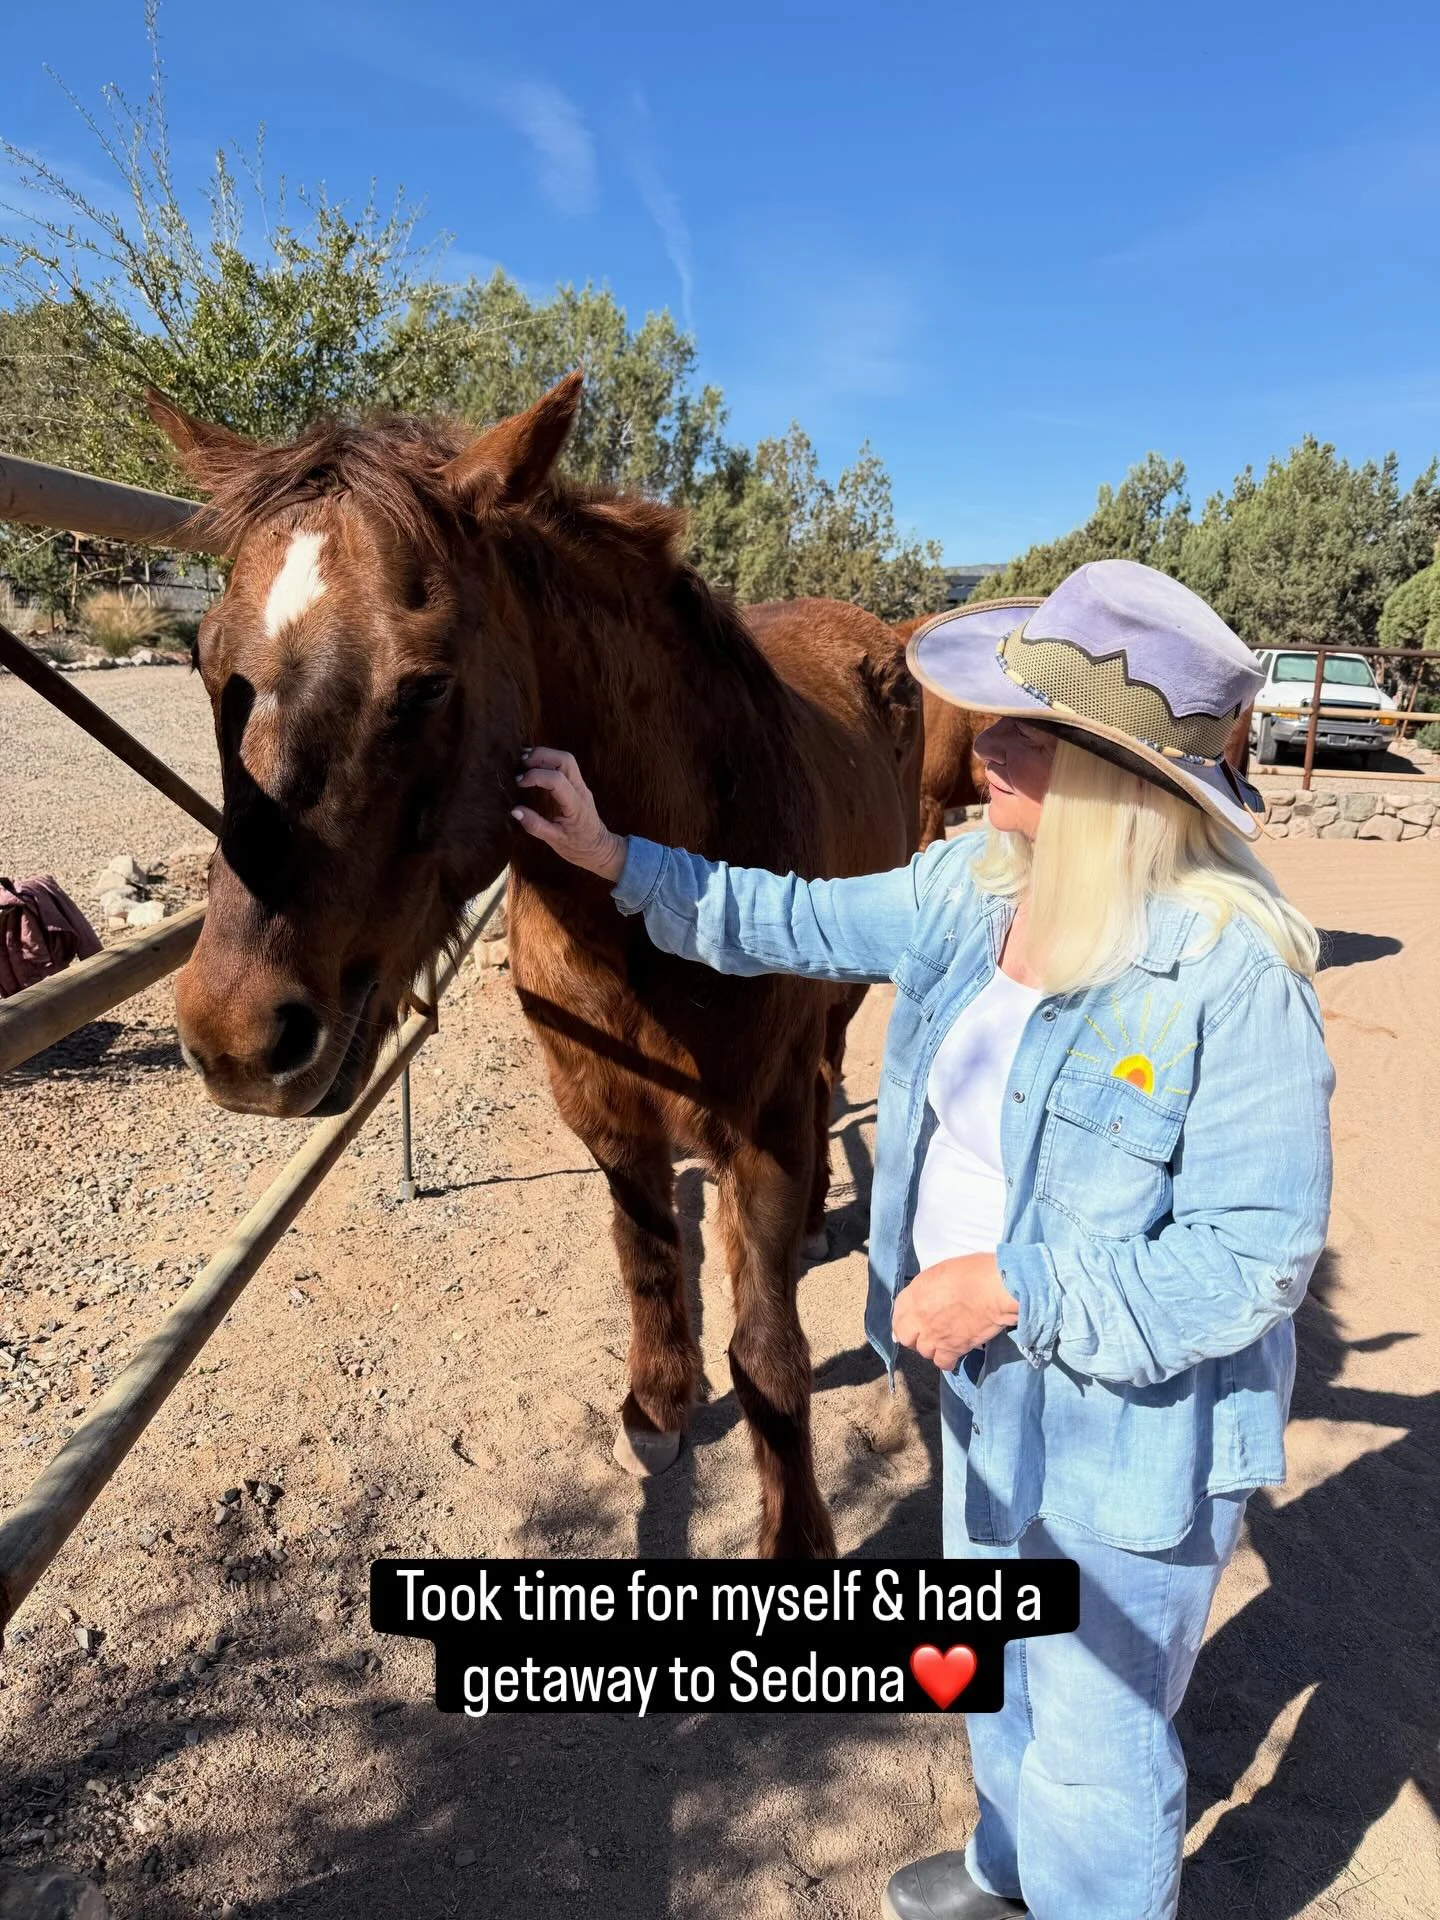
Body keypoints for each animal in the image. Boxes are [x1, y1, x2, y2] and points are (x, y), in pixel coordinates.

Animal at [147, 372, 922, 1559]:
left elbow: (768, 1351)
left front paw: (796, 1543)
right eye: (202, 660)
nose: (236, 1035)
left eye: (425, 685)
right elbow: (647, 1259)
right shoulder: (602, 1109)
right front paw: (657, 1408)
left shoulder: (760, 1129)